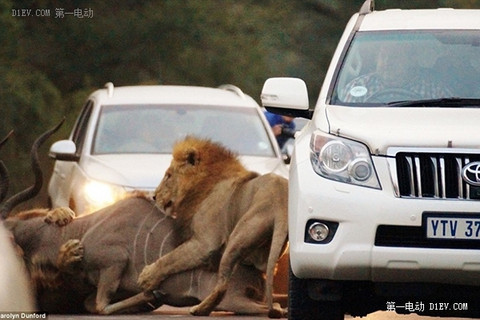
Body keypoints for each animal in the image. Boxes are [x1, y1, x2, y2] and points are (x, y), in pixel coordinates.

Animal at [139, 136, 288, 318]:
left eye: (168, 175)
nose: (154, 196)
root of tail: (281, 203)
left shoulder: (204, 243)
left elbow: (171, 258)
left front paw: (146, 277)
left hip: (238, 237)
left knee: (223, 285)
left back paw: (200, 309)